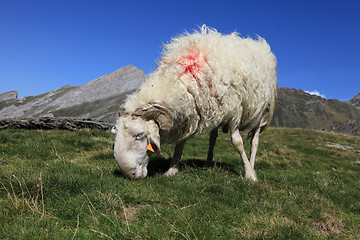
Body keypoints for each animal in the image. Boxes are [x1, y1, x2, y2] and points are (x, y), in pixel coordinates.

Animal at [112, 25, 278, 180]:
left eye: (139, 135)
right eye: (115, 132)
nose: (129, 174)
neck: (182, 78)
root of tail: (259, 43)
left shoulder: (233, 111)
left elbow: (237, 143)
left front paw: (250, 174)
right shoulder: (193, 111)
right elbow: (181, 143)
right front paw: (172, 169)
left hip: (263, 112)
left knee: (254, 141)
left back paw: (252, 163)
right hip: (217, 110)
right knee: (213, 139)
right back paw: (208, 164)